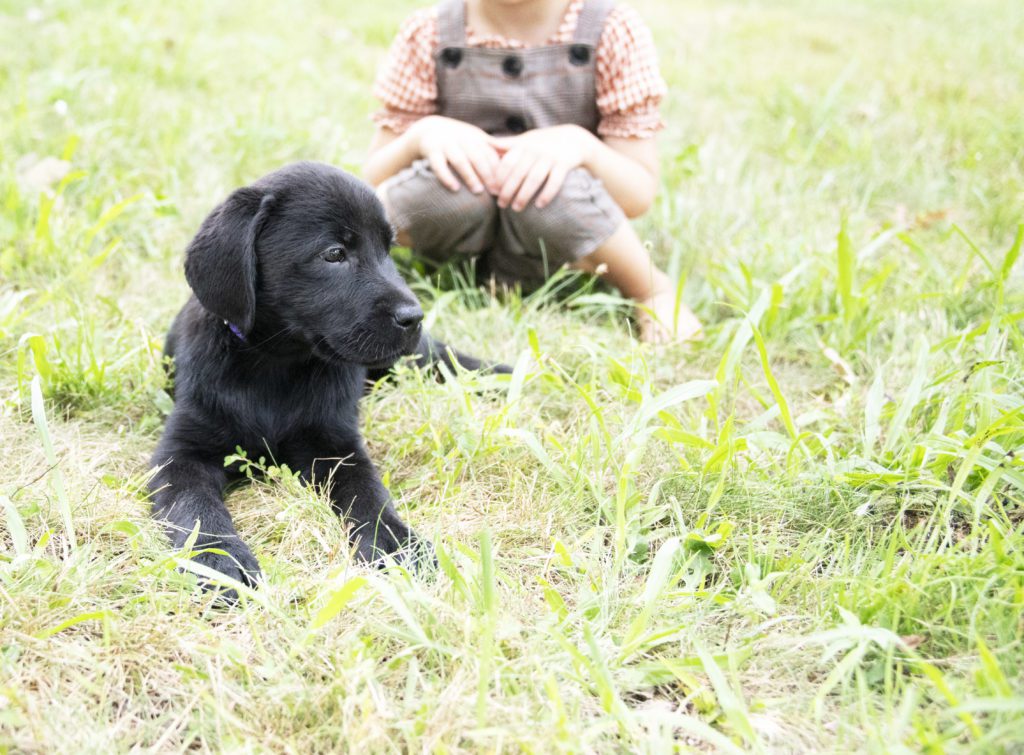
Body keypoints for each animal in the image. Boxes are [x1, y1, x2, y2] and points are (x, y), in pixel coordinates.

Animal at [151, 161, 499, 590]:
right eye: (334, 254)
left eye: (387, 248)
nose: (413, 317)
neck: (277, 366)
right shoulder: (182, 452)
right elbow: (195, 506)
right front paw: (218, 560)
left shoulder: (337, 445)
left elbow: (369, 494)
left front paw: (397, 543)